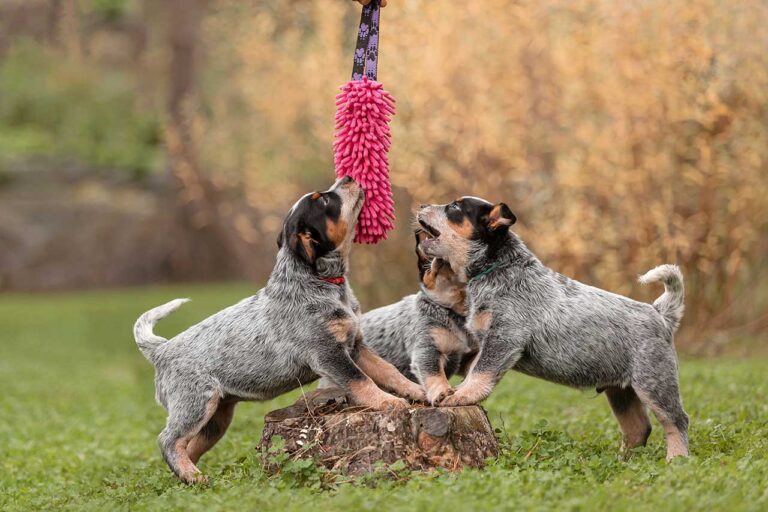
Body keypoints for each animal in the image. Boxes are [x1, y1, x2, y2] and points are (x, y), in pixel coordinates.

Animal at [136, 177, 428, 484]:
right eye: (325, 201)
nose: (348, 178)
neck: (319, 281)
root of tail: (161, 350)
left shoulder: (356, 346)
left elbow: (389, 371)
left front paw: (417, 391)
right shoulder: (328, 354)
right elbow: (362, 381)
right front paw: (389, 402)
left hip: (216, 419)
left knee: (189, 445)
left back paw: (191, 477)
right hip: (196, 403)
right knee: (167, 440)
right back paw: (191, 475)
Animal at [358, 231, 474, 404]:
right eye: (427, 261)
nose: (440, 257)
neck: (453, 311)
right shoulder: (426, 347)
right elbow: (434, 373)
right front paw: (442, 392)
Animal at [416, 196, 692, 460]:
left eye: (454, 208)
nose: (421, 205)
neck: (497, 269)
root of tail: (660, 313)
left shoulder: (504, 337)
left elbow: (481, 372)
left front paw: (463, 395)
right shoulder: (484, 341)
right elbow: (472, 367)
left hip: (654, 382)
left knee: (676, 420)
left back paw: (676, 458)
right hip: (621, 392)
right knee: (639, 428)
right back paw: (623, 460)